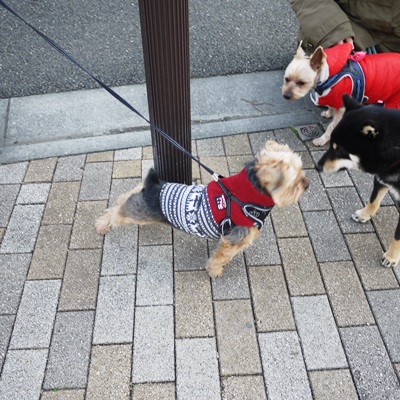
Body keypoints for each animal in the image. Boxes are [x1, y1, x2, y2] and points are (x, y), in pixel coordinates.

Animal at [95, 141, 308, 278]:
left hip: (139, 198)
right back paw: (101, 225)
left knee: (127, 195)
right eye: (295, 183)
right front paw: (215, 271)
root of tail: (153, 185)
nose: (307, 184)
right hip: (135, 213)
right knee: (116, 213)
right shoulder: (232, 240)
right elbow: (220, 257)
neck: (247, 195)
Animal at [318, 95, 400, 268]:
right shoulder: (382, 176)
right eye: (331, 146)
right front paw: (365, 214)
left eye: (340, 150)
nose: (317, 166)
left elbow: (397, 237)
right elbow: (373, 200)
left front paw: (391, 256)